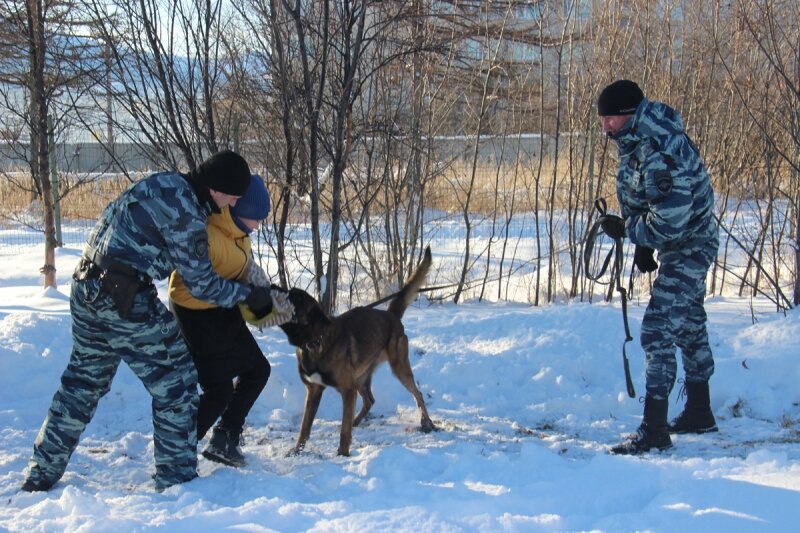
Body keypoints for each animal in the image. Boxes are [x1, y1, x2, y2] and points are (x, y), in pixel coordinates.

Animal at [278, 247, 434, 456]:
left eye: (294, 297)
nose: (271, 286)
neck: (314, 342)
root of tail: (391, 315)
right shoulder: (314, 390)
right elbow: (305, 427)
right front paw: (297, 451)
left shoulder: (347, 390)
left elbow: (343, 431)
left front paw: (343, 453)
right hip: (360, 378)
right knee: (369, 400)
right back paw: (356, 421)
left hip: (399, 369)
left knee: (418, 394)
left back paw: (427, 423)